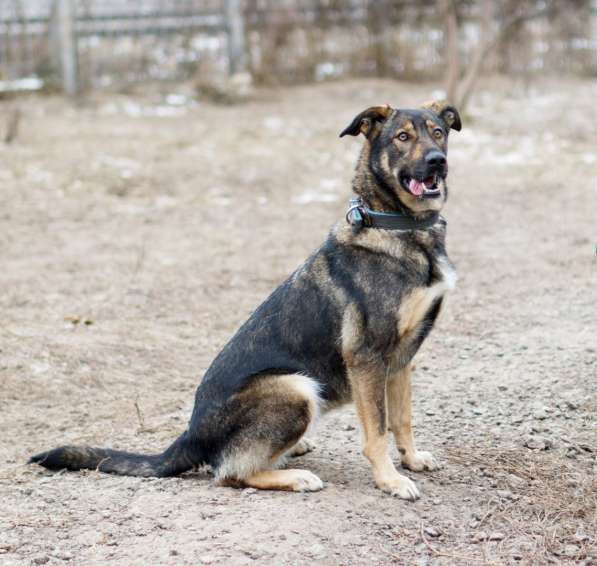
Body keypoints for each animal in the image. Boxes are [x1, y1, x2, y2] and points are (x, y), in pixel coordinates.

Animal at [29, 101, 460, 502]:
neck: (397, 225)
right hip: (296, 388)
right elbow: (377, 430)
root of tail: (191, 434)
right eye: (402, 137)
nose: (437, 162)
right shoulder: (367, 357)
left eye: (438, 132)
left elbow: (401, 418)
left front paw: (411, 459)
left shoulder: (402, 356)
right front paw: (390, 480)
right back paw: (293, 476)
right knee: (228, 472)